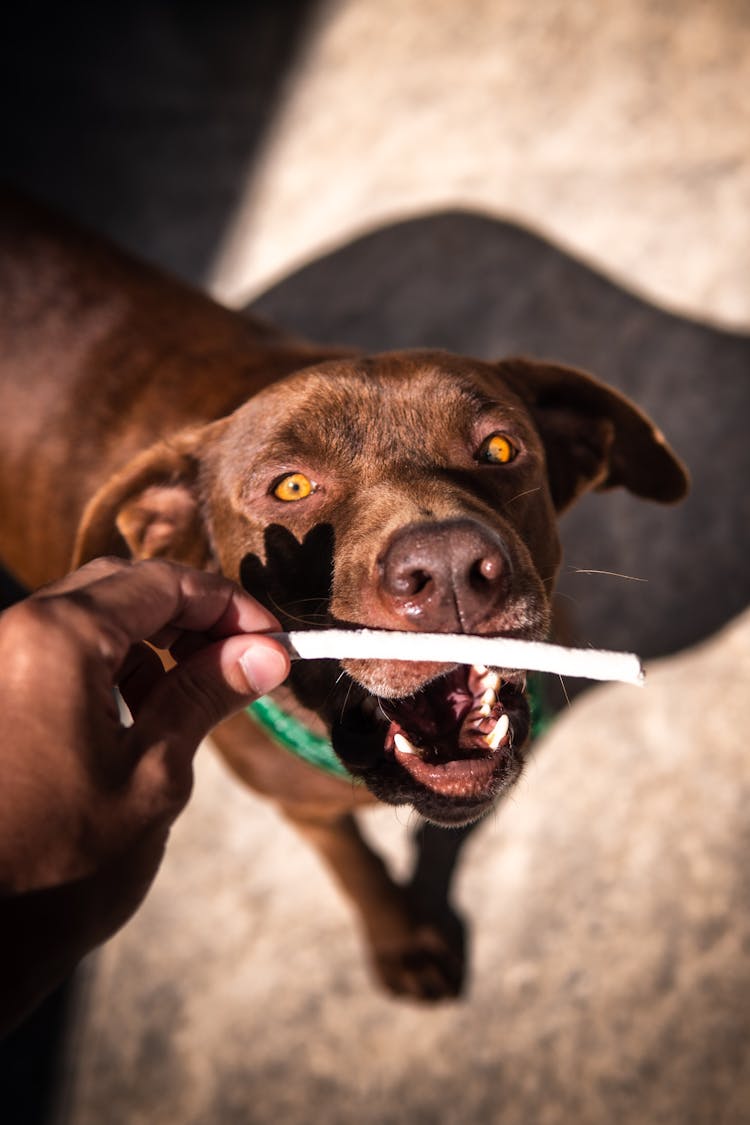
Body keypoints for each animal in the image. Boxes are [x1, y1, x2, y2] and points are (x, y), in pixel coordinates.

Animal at [0, 198, 688, 999]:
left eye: (500, 448)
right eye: (291, 486)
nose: (449, 567)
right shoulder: (299, 804)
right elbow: (351, 861)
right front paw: (401, 939)